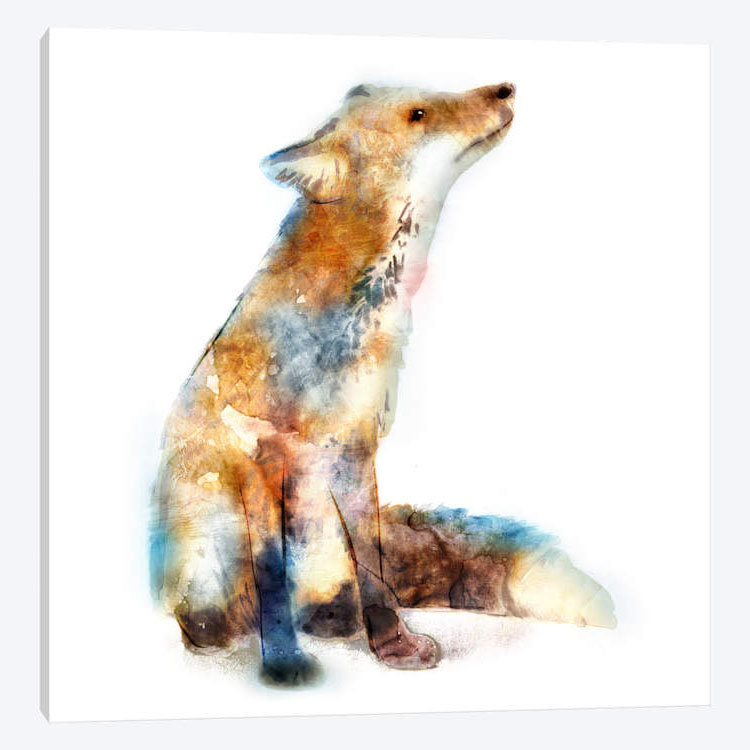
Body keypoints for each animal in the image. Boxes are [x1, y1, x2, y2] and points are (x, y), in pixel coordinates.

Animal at [150, 81, 616, 687]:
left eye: (432, 96)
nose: (505, 88)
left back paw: (334, 621)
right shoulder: (258, 460)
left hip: (319, 539)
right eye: (419, 113)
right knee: (225, 616)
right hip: (207, 557)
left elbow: (372, 569)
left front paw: (391, 645)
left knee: (327, 594)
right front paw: (284, 667)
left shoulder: (355, 448)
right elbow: (272, 578)